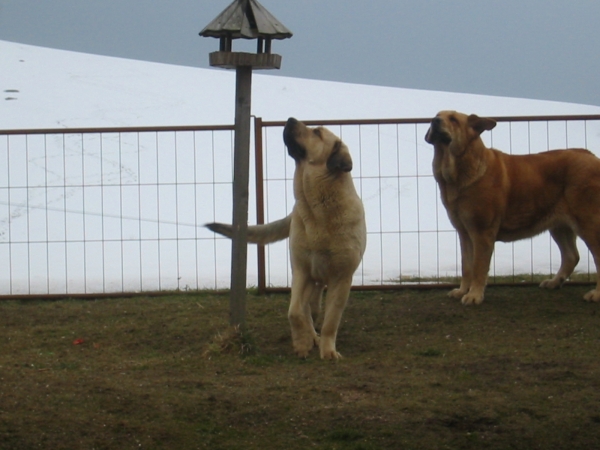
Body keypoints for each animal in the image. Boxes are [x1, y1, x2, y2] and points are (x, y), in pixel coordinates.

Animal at [206, 118, 366, 356]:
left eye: (316, 132)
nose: (290, 119)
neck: (318, 211)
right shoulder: (301, 271)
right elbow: (295, 311)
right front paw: (302, 343)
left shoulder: (342, 278)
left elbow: (331, 320)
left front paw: (328, 351)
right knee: (308, 308)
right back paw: (311, 335)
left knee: (316, 306)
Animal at [424, 110, 600, 304]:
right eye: (437, 115)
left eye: (453, 119)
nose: (434, 121)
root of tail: (592, 157)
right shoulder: (464, 233)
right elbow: (466, 266)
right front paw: (462, 291)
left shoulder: (481, 233)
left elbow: (478, 267)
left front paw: (474, 295)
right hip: (559, 226)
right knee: (571, 256)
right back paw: (554, 282)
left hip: (588, 222)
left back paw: (596, 294)